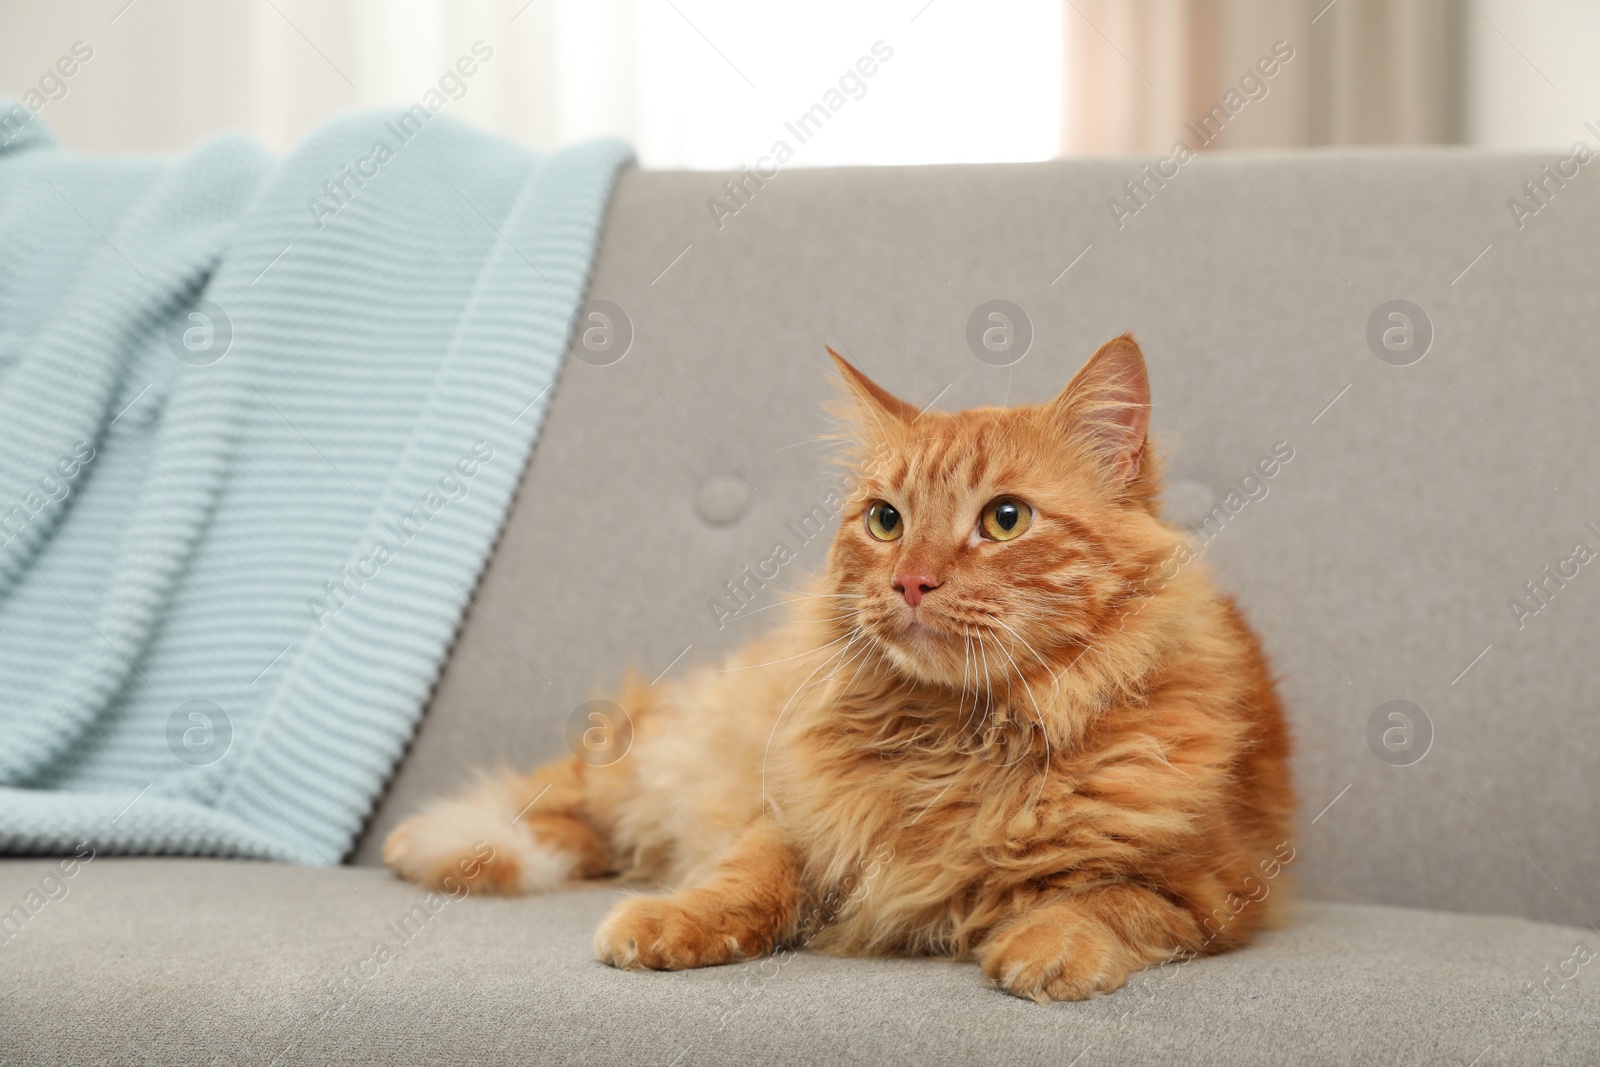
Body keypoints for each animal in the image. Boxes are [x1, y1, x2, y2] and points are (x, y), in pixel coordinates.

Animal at [380, 334, 1292, 1004]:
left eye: (1005, 519)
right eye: (886, 521)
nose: (911, 580)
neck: (958, 740)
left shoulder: (1216, 888)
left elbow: (1106, 899)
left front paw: (1046, 944)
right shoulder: (793, 813)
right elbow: (744, 875)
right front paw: (672, 920)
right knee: (572, 791)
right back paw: (425, 842)